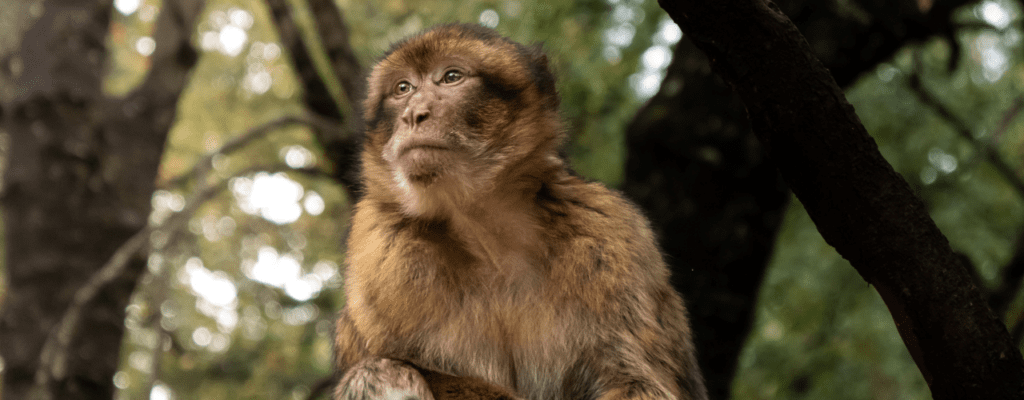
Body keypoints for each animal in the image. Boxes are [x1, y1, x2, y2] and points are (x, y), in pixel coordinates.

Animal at [335, 23, 708, 400]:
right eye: (403, 88)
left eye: (451, 77)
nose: (413, 115)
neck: (487, 236)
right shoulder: (381, 253)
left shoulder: (609, 233)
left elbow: (635, 380)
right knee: (378, 372)